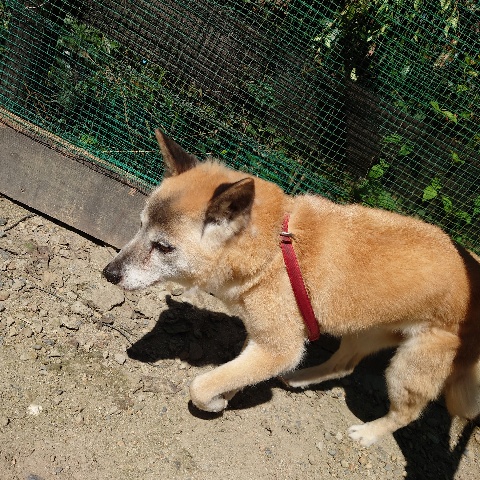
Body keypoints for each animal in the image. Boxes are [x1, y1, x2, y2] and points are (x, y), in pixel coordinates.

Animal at [103, 129, 480, 446]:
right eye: (139, 225)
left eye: (163, 247)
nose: (109, 273)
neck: (273, 249)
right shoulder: (264, 337)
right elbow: (234, 373)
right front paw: (228, 393)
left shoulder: (280, 347)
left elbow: (200, 384)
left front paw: (213, 403)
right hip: (362, 329)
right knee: (344, 364)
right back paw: (300, 378)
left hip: (410, 368)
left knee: (406, 413)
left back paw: (369, 433)